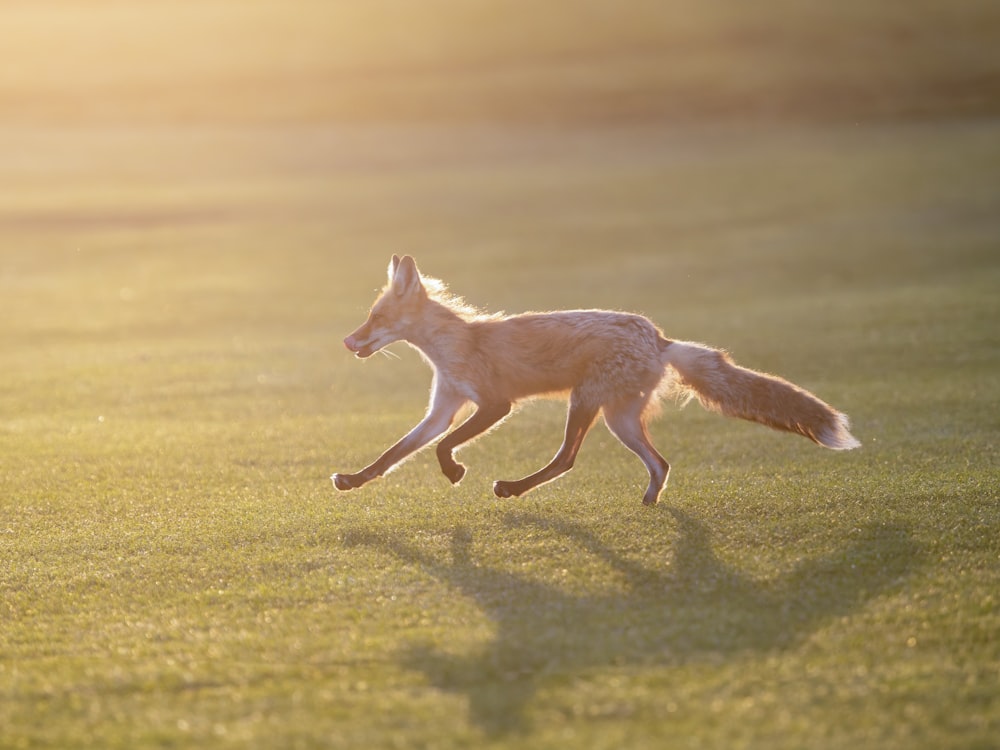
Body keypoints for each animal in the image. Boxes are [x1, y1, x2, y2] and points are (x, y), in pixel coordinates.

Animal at [330, 256, 860, 508]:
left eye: (376, 317)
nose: (347, 341)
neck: (455, 344)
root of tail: (660, 338)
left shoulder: (496, 404)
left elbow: (442, 446)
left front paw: (454, 471)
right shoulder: (443, 406)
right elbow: (393, 453)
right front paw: (353, 481)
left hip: (586, 404)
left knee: (566, 459)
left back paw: (514, 490)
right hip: (619, 417)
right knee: (660, 463)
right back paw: (649, 501)